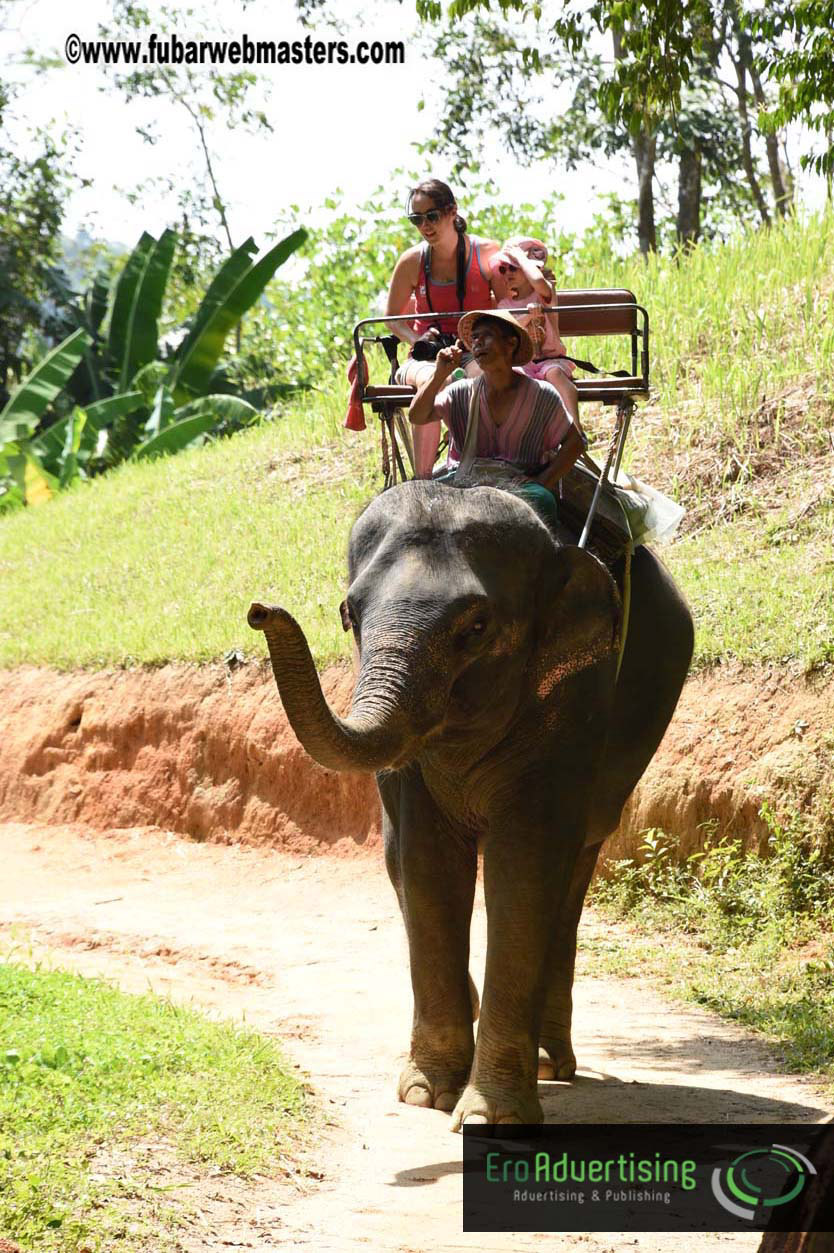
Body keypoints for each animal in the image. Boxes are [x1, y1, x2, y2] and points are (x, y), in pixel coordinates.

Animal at [248, 479, 694, 1128]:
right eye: (350, 614)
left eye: (477, 627)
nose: (259, 611)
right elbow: (426, 864)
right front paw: (426, 1093)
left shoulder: (573, 704)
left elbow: (523, 869)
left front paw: (489, 1115)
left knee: (574, 873)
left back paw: (548, 1064)